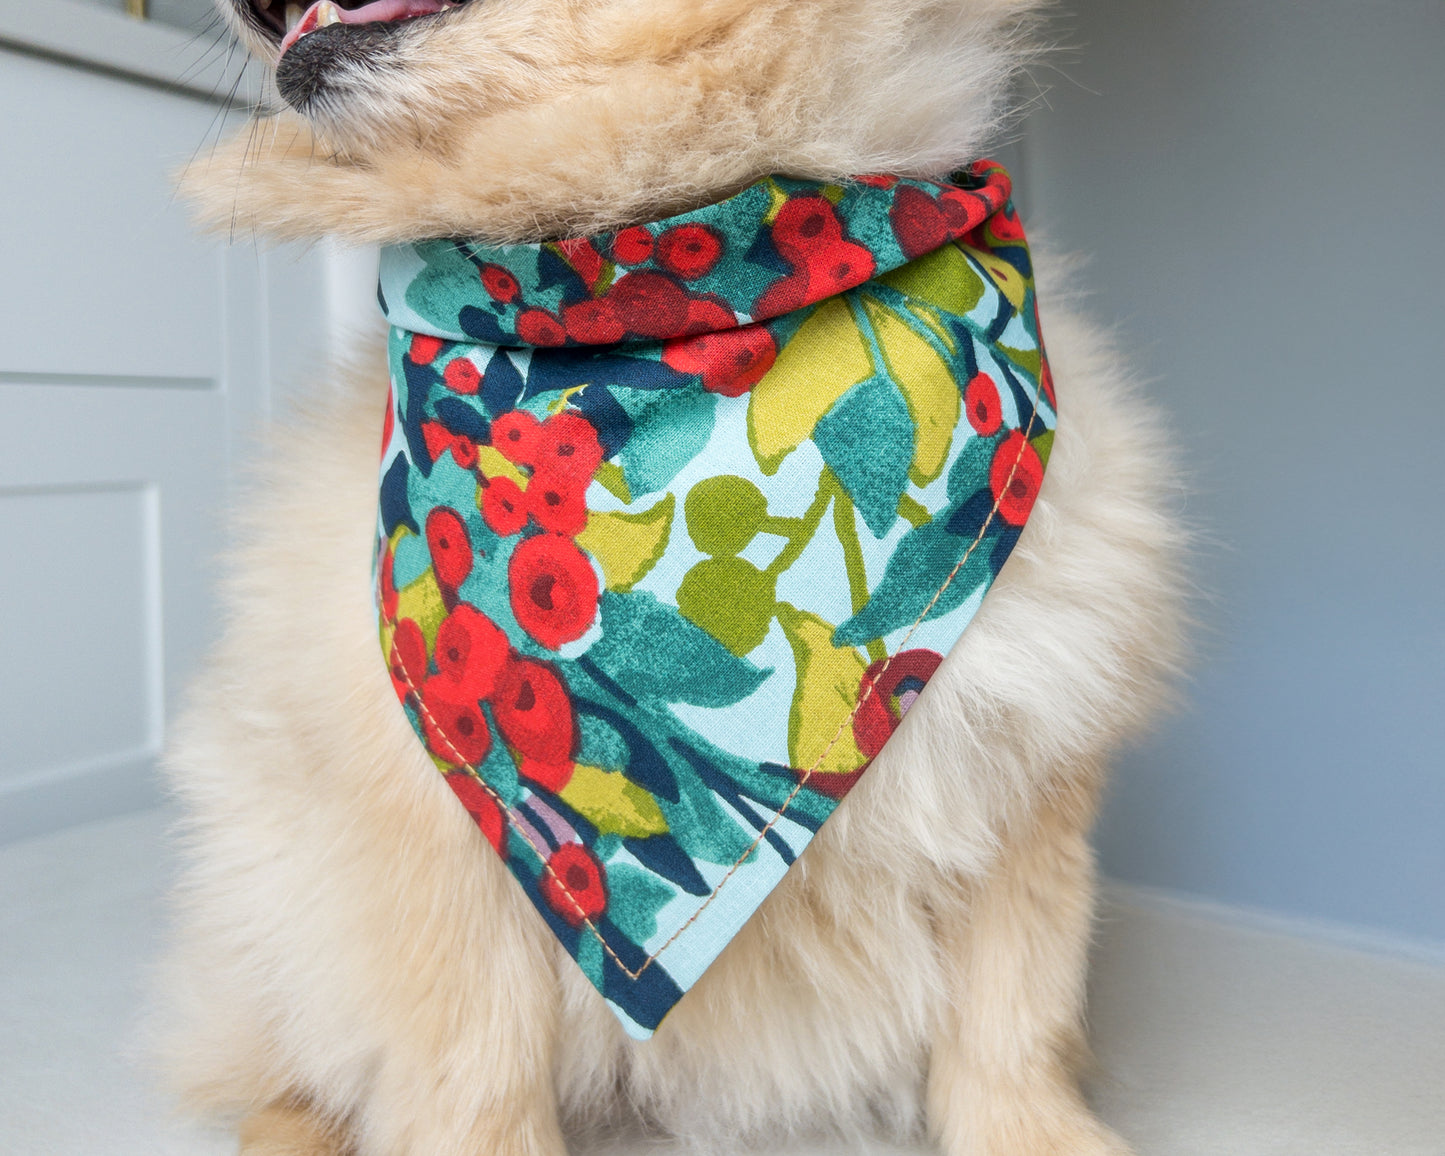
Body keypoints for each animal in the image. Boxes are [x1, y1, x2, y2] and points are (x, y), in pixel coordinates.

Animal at [158, 2, 1190, 1156]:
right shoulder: (441, 834)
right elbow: (475, 1080)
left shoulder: (1025, 781)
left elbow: (1013, 1021)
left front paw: (1033, 1130)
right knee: (286, 1067)